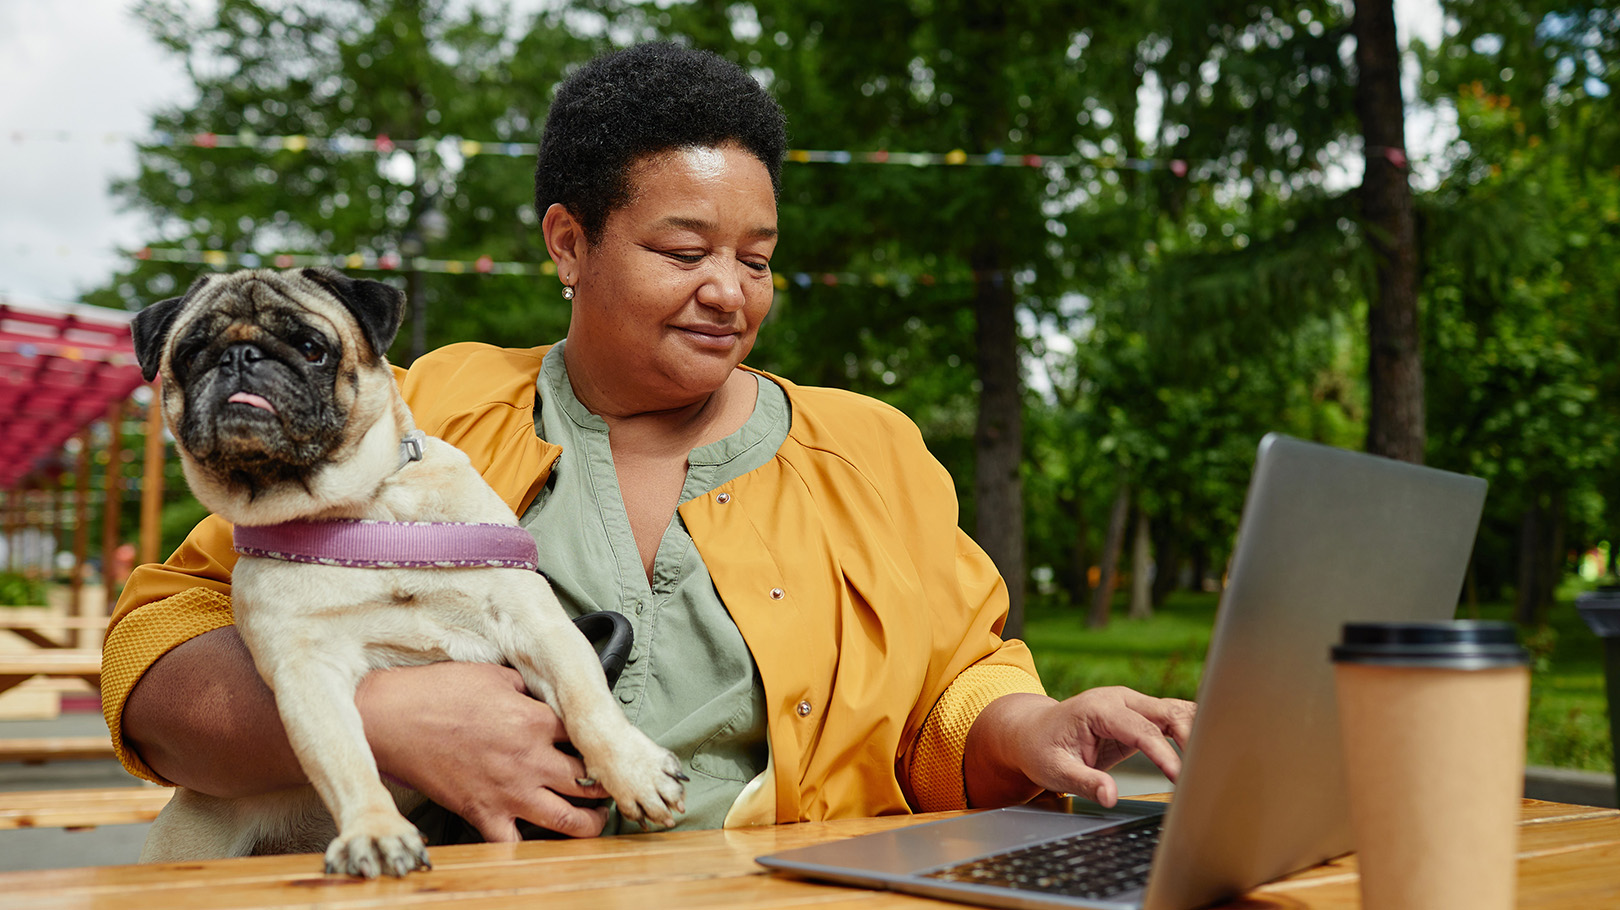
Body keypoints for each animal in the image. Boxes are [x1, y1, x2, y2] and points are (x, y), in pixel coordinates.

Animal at [127, 265, 683, 874]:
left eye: (312, 348)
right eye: (191, 354)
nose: (239, 356)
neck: (360, 511)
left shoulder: (535, 623)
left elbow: (587, 701)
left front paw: (633, 768)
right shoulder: (307, 671)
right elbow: (346, 761)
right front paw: (374, 831)